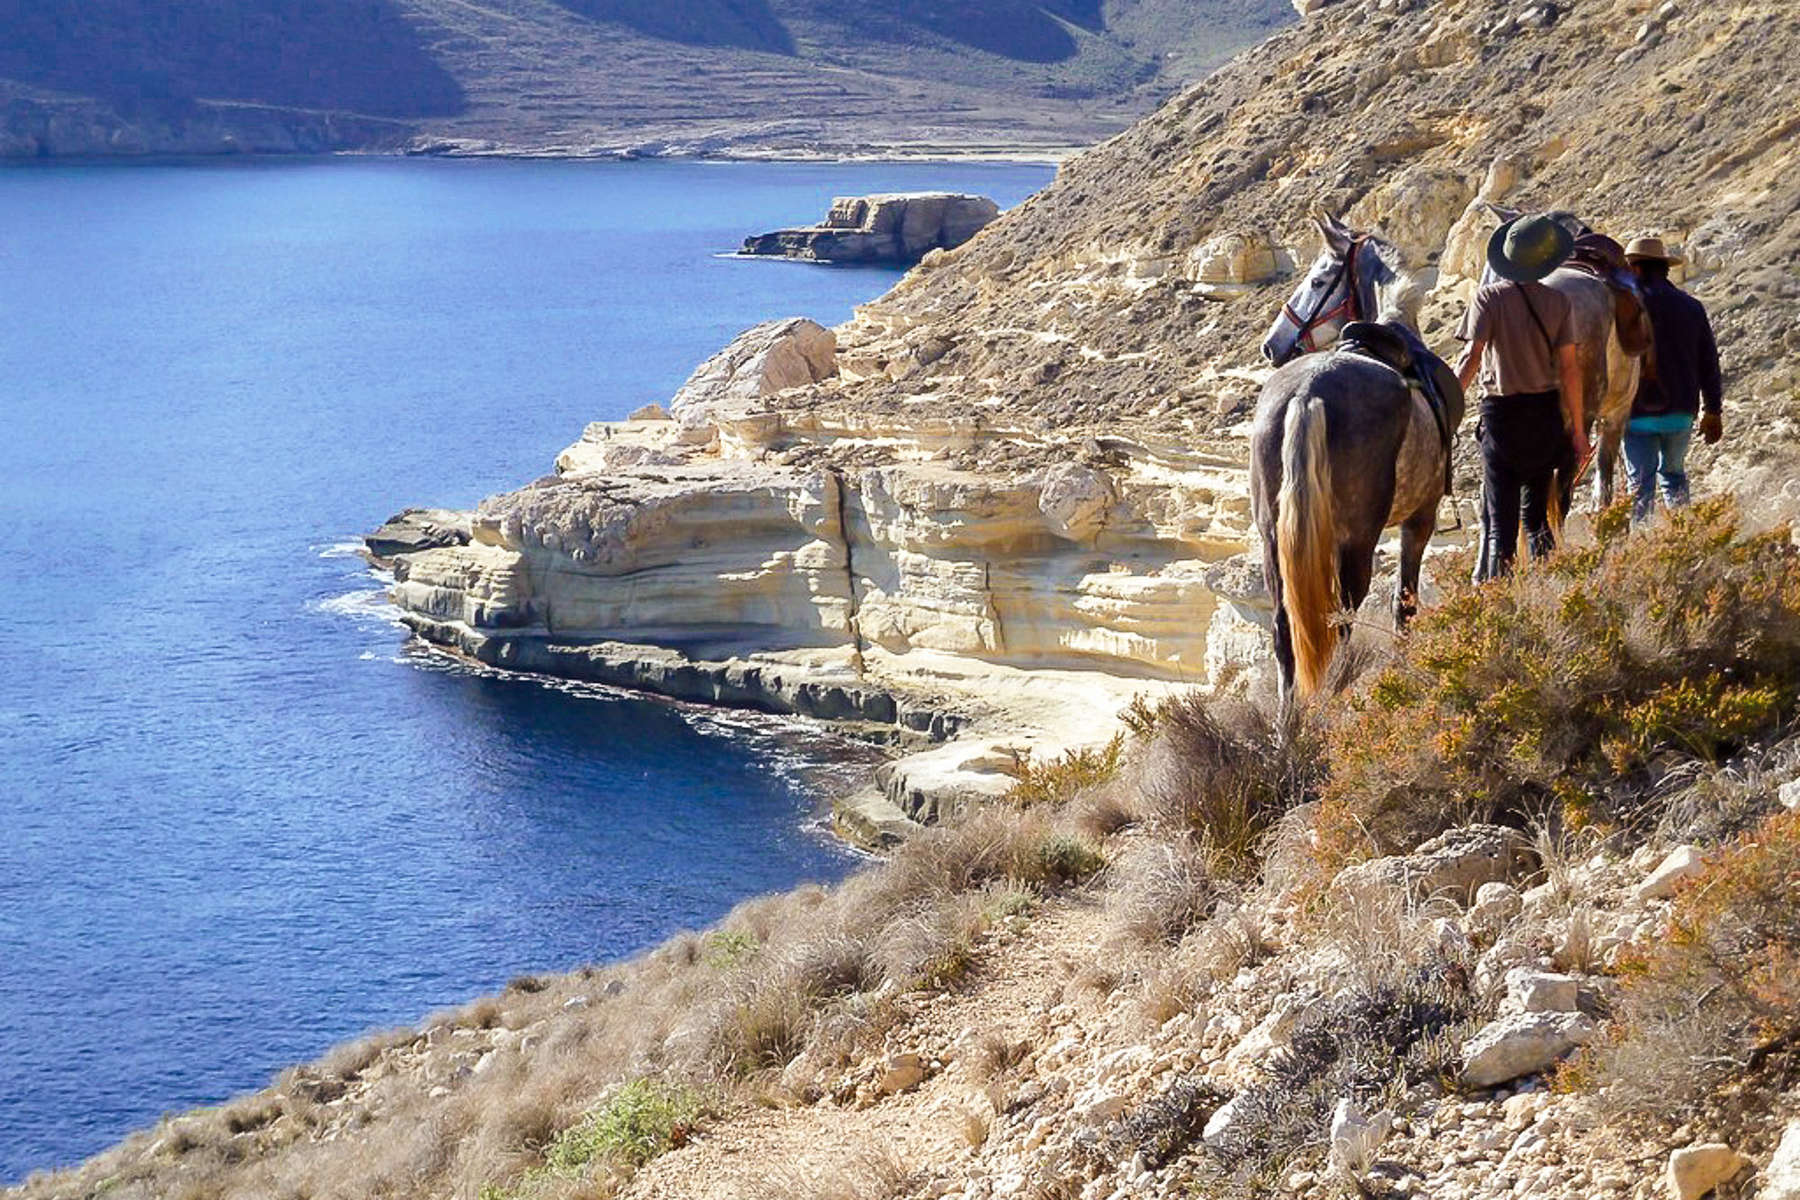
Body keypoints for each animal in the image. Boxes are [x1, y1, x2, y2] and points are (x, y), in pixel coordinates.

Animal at [1252, 216, 1461, 705]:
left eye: (1317, 280)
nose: (1273, 345)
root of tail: (1307, 392)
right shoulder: (1420, 519)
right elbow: (1404, 603)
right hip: (1358, 542)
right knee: (1341, 627)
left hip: (1272, 542)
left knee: (1286, 634)